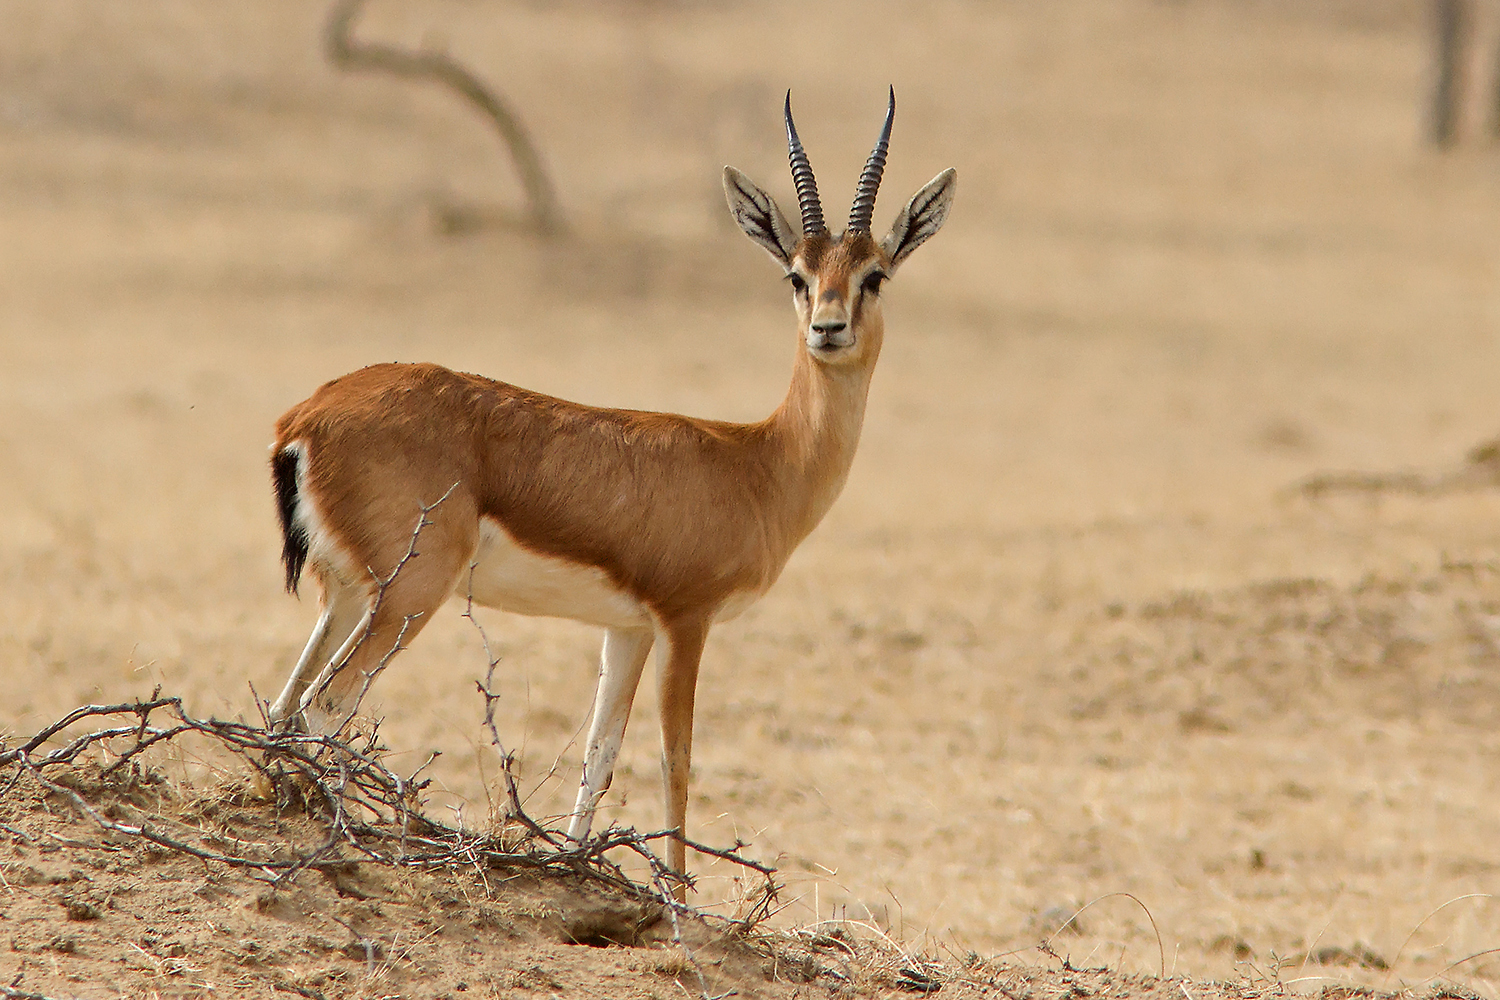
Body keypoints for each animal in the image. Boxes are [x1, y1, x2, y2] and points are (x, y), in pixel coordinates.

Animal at [266, 88, 955, 885]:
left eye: (875, 273)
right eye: (796, 274)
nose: (829, 328)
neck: (759, 461)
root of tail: (307, 415)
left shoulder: (626, 630)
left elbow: (600, 754)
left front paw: (574, 866)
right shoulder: (685, 621)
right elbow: (675, 761)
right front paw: (680, 898)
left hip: (349, 594)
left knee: (285, 707)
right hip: (410, 594)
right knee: (326, 706)